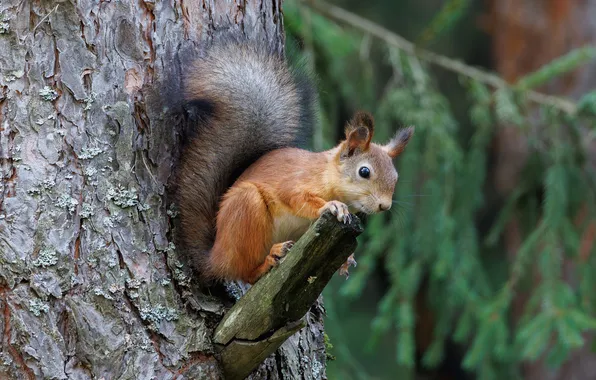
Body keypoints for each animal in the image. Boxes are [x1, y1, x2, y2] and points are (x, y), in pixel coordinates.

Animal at [175, 35, 412, 284]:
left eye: (395, 177)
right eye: (364, 172)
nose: (384, 206)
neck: (326, 174)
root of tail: (215, 257)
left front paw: (347, 259)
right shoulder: (295, 180)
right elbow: (296, 197)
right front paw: (331, 206)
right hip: (246, 209)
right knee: (244, 272)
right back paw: (269, 259)